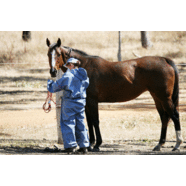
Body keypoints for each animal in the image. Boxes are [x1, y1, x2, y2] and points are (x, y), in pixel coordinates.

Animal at [46, 38, 183, 152]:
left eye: (58, 54)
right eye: (48, 54)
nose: (53, 72)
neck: (83, 66)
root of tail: (164, 59)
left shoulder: (92, 101)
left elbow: (95, 121)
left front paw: (97, 145)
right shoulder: (86, 103)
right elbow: (89, 122)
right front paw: (90, 144)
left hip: (164, 98)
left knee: (175, 116)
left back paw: (177, 145)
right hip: (157, 98)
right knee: (164, 118)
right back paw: (159, 144)